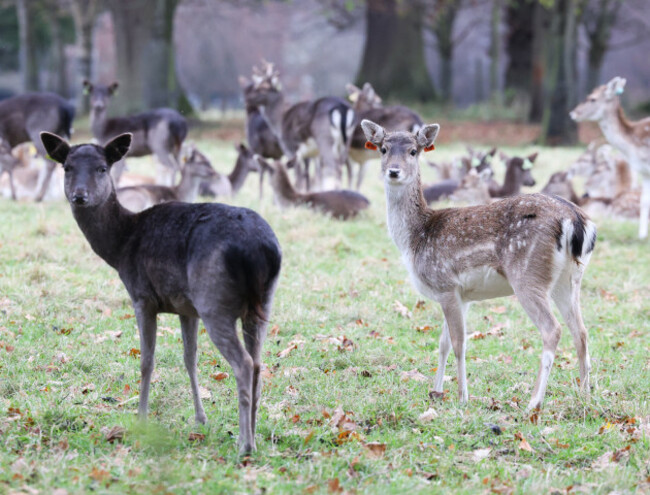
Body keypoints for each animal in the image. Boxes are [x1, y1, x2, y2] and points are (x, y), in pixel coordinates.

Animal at [40, 131, 281, 455]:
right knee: (257, 362)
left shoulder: (142, 296)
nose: (80, 195)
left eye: (102, 168)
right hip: (262, 302)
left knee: (243, 363)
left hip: (214, 299)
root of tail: (262, 250)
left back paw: (245, 444)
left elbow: (147, 360)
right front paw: (200, 418)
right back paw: (253, 435)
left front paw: (141, 418)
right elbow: (189, 358)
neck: (121, 246)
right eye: (67, 167)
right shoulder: (186, 307)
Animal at [244, 62, 355, 191]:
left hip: (324, 139)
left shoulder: (290, 148)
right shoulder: (309, 154)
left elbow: (299, 176)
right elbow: (307, 175)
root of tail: (342, 107)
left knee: (335, 167)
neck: (280, 122)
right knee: (347, 168)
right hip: (347, 142)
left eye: (263, 88)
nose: (247, 98)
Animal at [361, 119, 596, 411]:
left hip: (528, 276)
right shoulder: (462, 296)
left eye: (413, 151)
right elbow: (443, 343)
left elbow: (459, 343)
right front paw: (436, 391)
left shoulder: (445, 284)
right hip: (570, 279)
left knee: (552, 329)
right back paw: (585, 396)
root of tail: (577, 221)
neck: (415, 238)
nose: (394, 171)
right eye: (383, 149)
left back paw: (534, 402)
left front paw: (462, 397)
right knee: (581, 331)